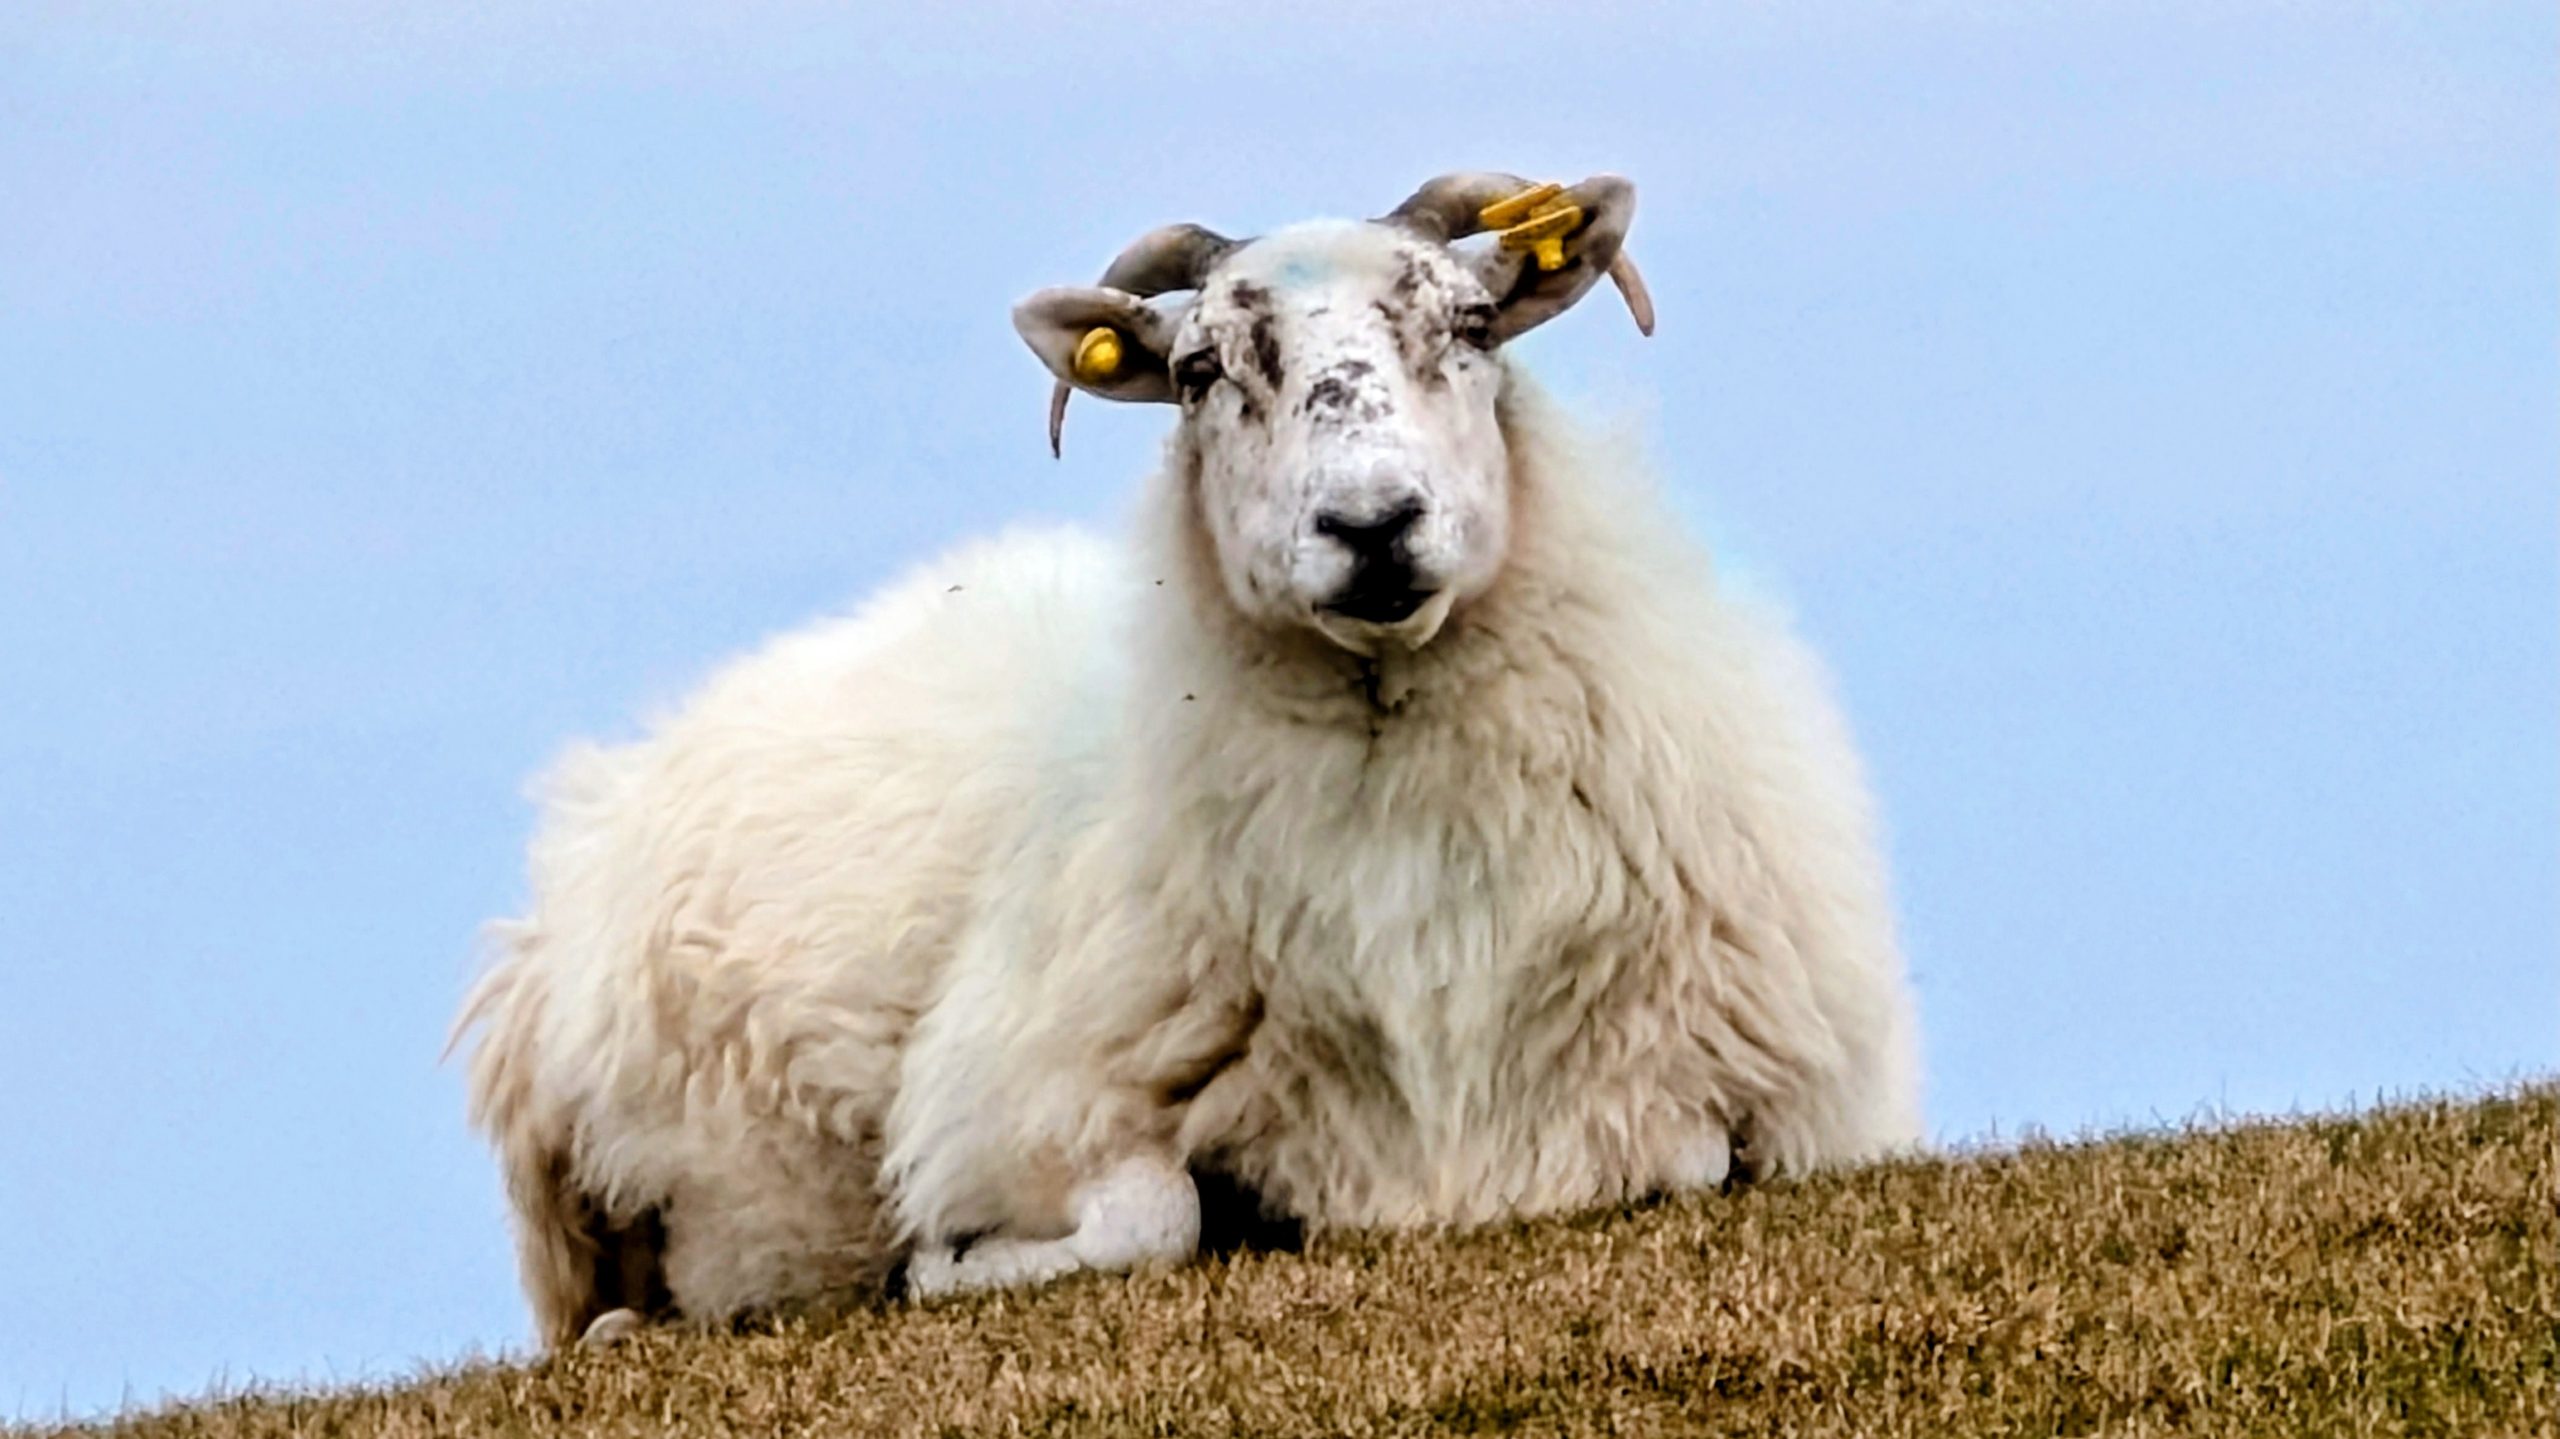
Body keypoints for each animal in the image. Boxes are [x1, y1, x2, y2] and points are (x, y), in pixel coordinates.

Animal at [452, 170, 1924, 1348]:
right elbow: (1151, 1214)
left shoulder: (1785, 1103)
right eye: (1204, 369)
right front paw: (946, 1264)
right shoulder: (1011, 1101)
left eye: (1468, 323)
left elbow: (1687, 1152)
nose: (1372, 523)